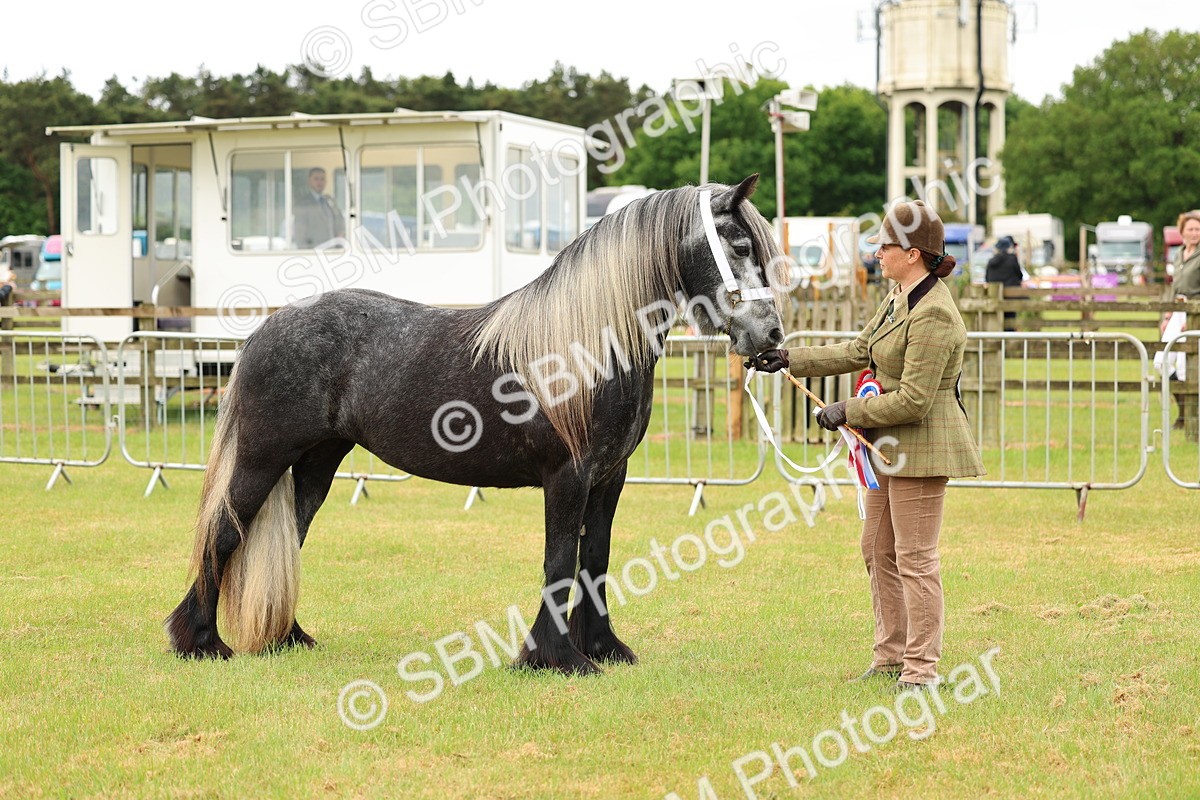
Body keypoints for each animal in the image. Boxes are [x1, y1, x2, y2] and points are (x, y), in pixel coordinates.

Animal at [165, 174, 787, 675]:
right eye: (739, 246)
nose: (772, 339)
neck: (586, 345)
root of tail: (262, 332)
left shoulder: (610, 477)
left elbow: (596, 560)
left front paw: (604, 649)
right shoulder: (568, 476)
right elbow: (560, 560)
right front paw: (554, 658)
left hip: (315, 465)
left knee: (288, 542)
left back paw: (287, 638)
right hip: (262, 458)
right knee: (225, 532)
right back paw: (200, 642)